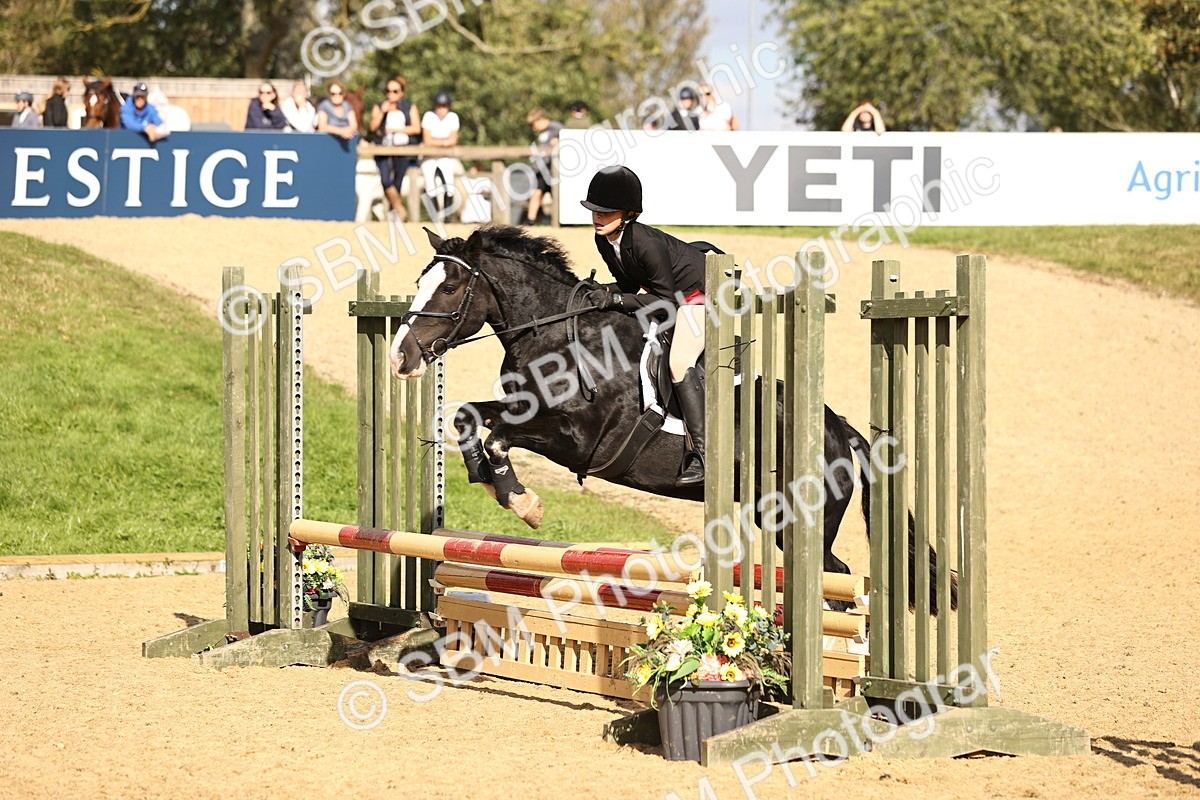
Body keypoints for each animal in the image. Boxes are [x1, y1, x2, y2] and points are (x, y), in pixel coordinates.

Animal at [389, 226, 953, 613]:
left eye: (449, 288)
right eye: (419, 281)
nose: (400, 357)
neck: (557, 335)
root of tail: (839, 428)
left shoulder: (580, 440)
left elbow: (503, 437)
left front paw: (522, 502)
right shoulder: (522, 410)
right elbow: (468, 417)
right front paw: (487, 480)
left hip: (796, 516)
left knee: (836, 577)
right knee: (835, 578)